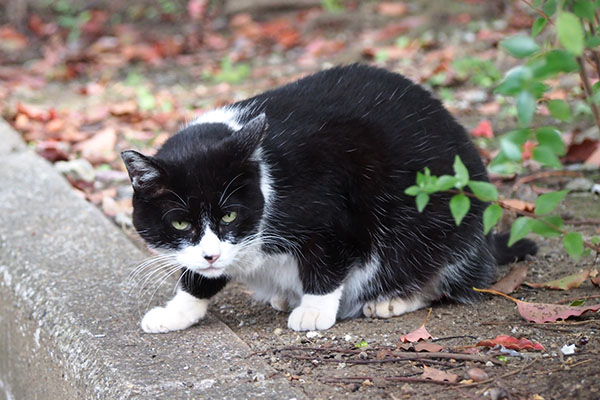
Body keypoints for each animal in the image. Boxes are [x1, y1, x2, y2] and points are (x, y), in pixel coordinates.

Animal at [120, 65, 536, 334]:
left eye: (229, 217)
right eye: (180, 222)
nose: (211, 254)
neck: (268, 178)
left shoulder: (335, 206)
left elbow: (329, 258)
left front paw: (315, 310)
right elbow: (200, 277)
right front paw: (176, 312)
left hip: (445, 226)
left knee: (445, 276)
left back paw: (394, 298)